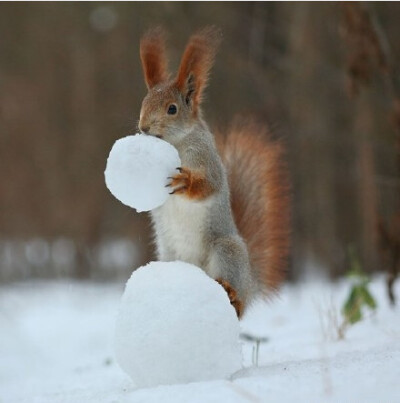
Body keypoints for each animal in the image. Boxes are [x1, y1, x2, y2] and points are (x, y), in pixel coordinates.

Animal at [138, 26, 290, 320]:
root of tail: (250, 282)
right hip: (169, 255)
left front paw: (185, 181)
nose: (143, 128)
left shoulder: (207, 160)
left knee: (236, 300)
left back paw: (233, 296)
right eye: (143, 101)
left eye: (172, 109)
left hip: (226, 252)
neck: (176, 143)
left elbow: (210, 185)